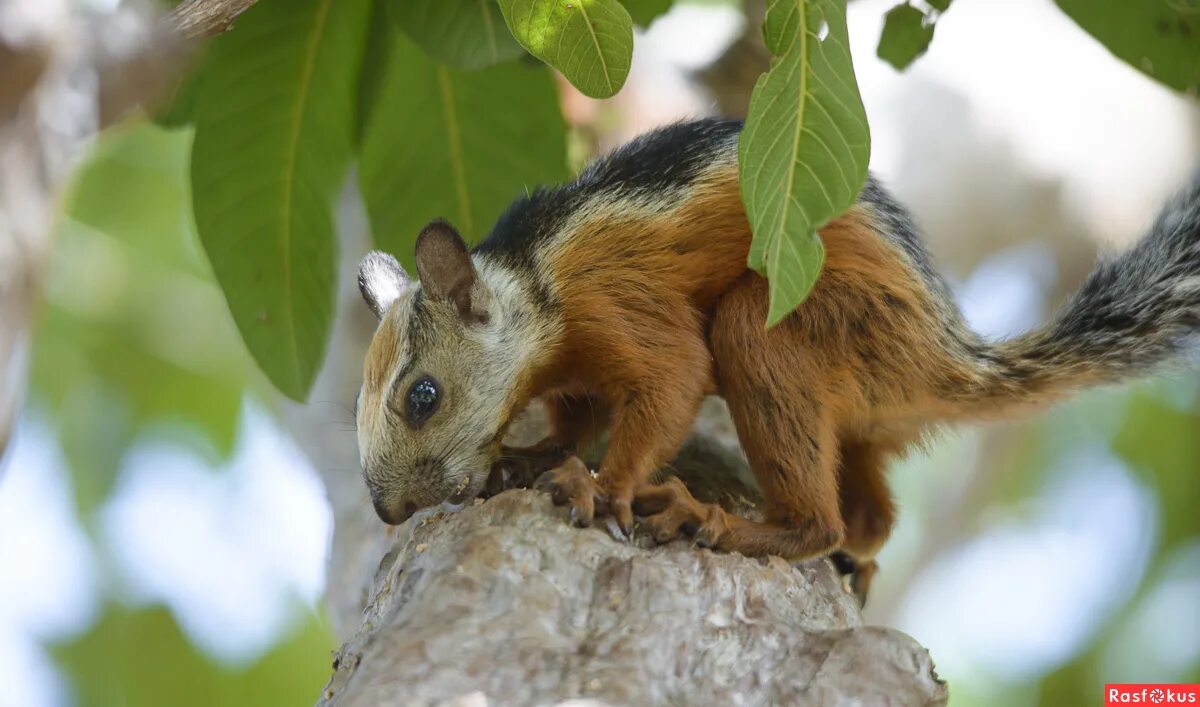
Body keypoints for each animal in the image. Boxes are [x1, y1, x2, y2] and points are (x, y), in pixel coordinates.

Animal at [350, 118, 1195, 604]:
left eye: (422, 395)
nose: (387, 512)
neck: (534, 282)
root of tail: (949, 358)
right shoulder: (572, 369)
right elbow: (574, 417)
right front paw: (534, 454)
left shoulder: (615, 299)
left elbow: (674, 379)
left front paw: (599, 486)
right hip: (863, 405)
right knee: (874, 513)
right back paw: (861, 556)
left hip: (800, 326)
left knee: (817, 515)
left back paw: (720, 520)